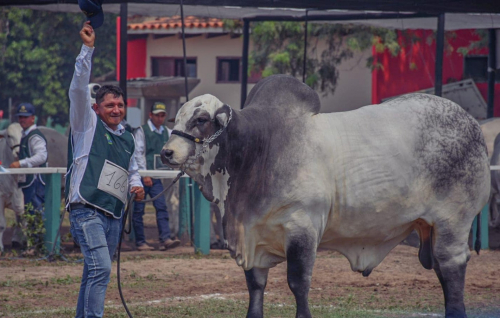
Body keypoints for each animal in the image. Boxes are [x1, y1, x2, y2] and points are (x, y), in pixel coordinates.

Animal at [162, 75, 490, 318]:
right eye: (175, 119)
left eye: (200, 119)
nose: (167, 152)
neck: (259, 149)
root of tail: (473, 124)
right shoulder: (252, 236)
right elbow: (255, 285)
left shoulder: (302, 226)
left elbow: (298, 283)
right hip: (431, 227)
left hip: (454, 221)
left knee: (451, 267)